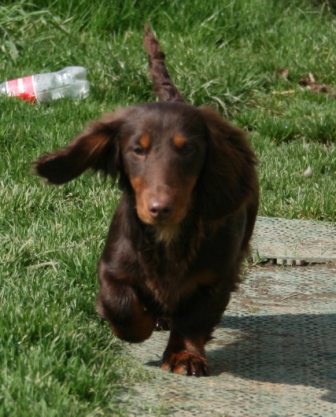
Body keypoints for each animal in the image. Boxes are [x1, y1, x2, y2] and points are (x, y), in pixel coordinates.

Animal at [34, 26, 258, 376]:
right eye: (137, 150)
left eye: (188, 149)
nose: (159, 209)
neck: (169, 237)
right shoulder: (112, 268)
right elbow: (121, 305)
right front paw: (141, 324)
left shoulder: (218, 278)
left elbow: (195, 319)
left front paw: (184, 355)